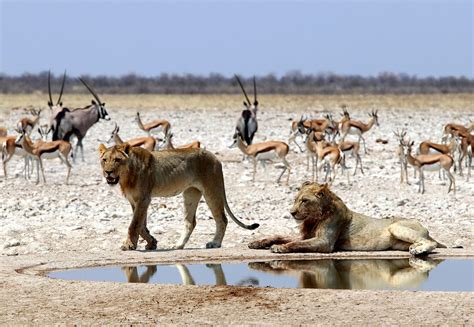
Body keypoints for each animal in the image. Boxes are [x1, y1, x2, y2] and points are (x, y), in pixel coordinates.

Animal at [97, 144, 258, 251]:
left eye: (117, 160)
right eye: (104, 160)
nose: (108, 172)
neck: (125, 177)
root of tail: (215, 157)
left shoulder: (144, 199)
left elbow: (134, 224)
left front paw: (129, 245)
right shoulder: (135, 201)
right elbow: (142, 225)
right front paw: (151, 242)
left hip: (212, 190)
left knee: (222, 219)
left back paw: (215, 243)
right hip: (190, 193)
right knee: (190, 222)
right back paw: (178, 245)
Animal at [250, 182, 446, 256]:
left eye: (304, 200)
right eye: (295, 199)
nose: (291, 212)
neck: (314, 218)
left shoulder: (325, 242)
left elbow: (296, 244)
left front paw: (280, 247)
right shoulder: (305, 235)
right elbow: (277, 235)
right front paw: (256, 243)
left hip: (396, 227)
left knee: (431, 243)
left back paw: (419, 250)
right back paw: (415, 248)